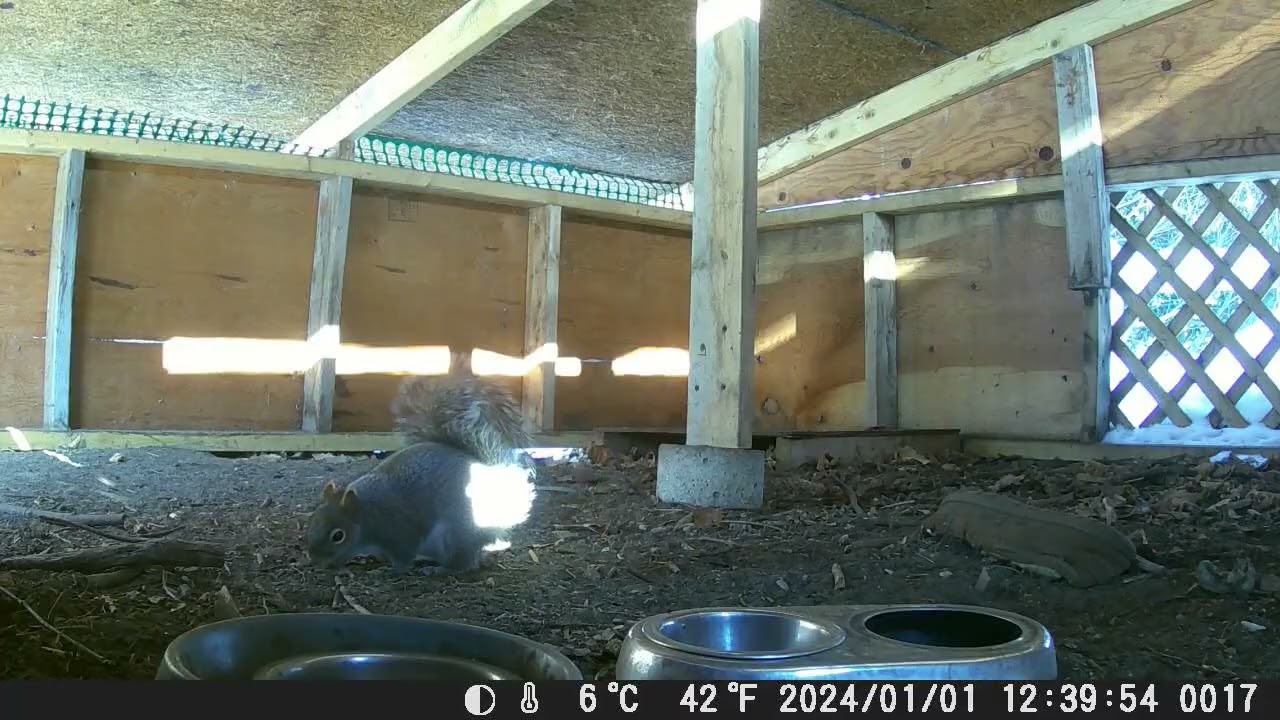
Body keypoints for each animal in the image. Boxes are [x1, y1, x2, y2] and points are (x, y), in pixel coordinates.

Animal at [304, 370, 537, 576]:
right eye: (313, 521)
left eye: (338, 536)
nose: (314, 560)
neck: (366, 514)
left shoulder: (400, 532)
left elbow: (402, 559)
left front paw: (386, 571)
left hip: (455, 534)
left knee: (463, 563)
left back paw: (438, 570)